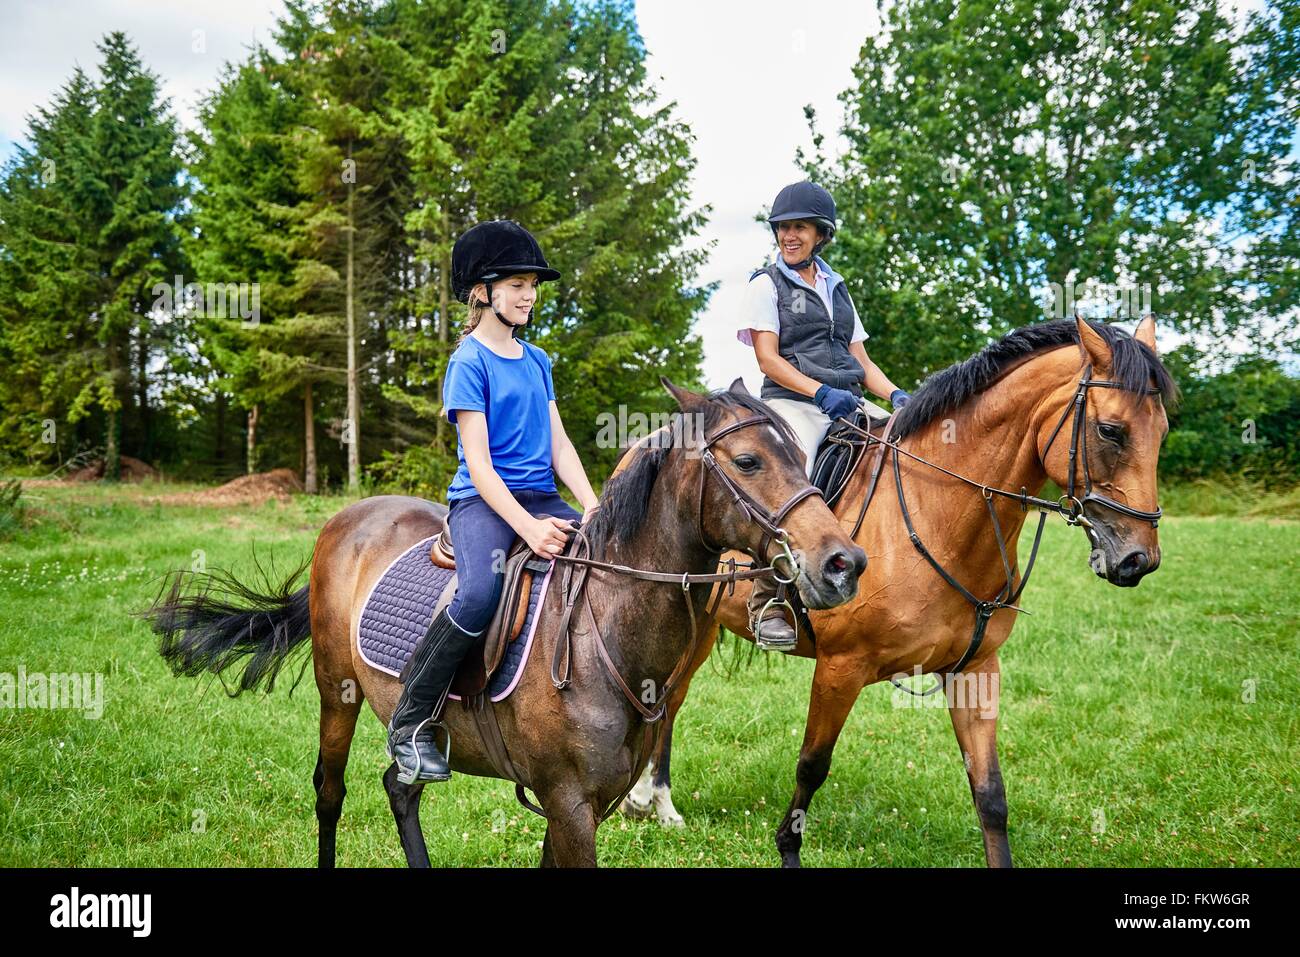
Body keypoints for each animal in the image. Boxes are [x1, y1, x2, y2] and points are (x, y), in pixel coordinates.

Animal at [144, 379, 863, 868]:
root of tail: (349, 518)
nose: (843, 562)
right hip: (335, 691)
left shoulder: (583, 805)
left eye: (800, 454)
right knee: (330, 791)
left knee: (399, 788)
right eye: (748, 461)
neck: (602, 634)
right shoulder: (569, 803)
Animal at [618, 315, 1180, 868]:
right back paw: (649, 801)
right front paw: (788, 849)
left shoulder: (976, 670)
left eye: (1162, 431)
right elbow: (811, 766)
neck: (939, 516)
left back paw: (652, 803)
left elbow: (990, 793)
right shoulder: (841, 667)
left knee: (670, 702)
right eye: (1111, 431)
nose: (1139, 559)